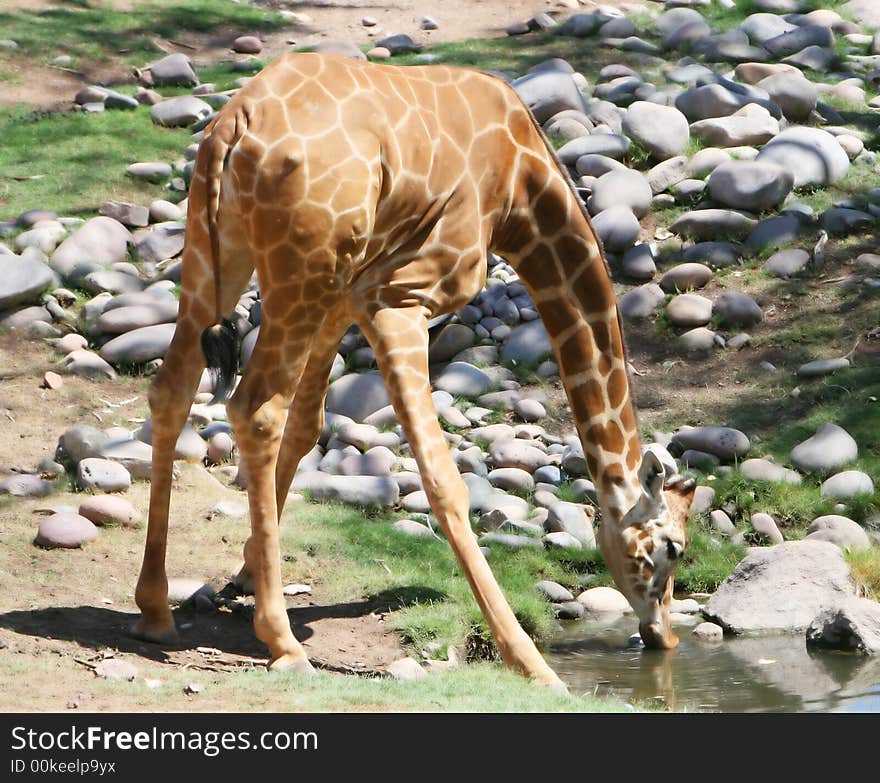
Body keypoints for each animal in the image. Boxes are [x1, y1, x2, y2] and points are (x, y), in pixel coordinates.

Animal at [132, 53, 696, 688]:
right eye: (673, 548)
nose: (664, 635)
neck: (521, 185)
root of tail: (236, 125)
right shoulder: (400, 296)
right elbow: (443, 480)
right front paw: (531, 664)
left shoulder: (349, 294)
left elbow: (308, 429)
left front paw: (245, 572)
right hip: (299, 273)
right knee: (255, 409)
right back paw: (283, 641)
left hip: (221, 255)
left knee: (173, 390)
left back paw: (154, 610)